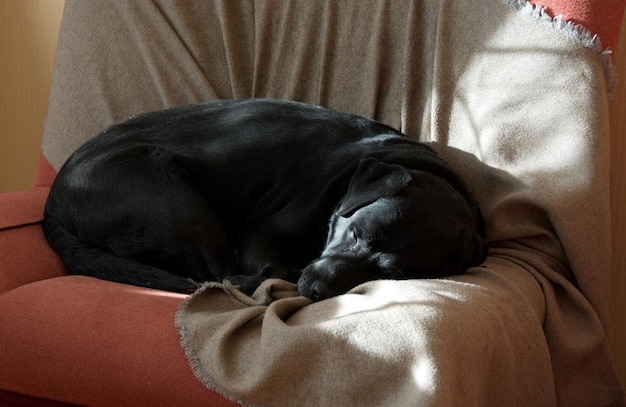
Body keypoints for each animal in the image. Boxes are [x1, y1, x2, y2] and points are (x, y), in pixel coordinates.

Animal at [42, 99, 488, 302]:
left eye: (390, 275)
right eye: (357, 233)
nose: (317, 289)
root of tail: (52, 202)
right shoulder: (263, 234)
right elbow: (279, 265)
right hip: (175, 201)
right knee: (215, 272)